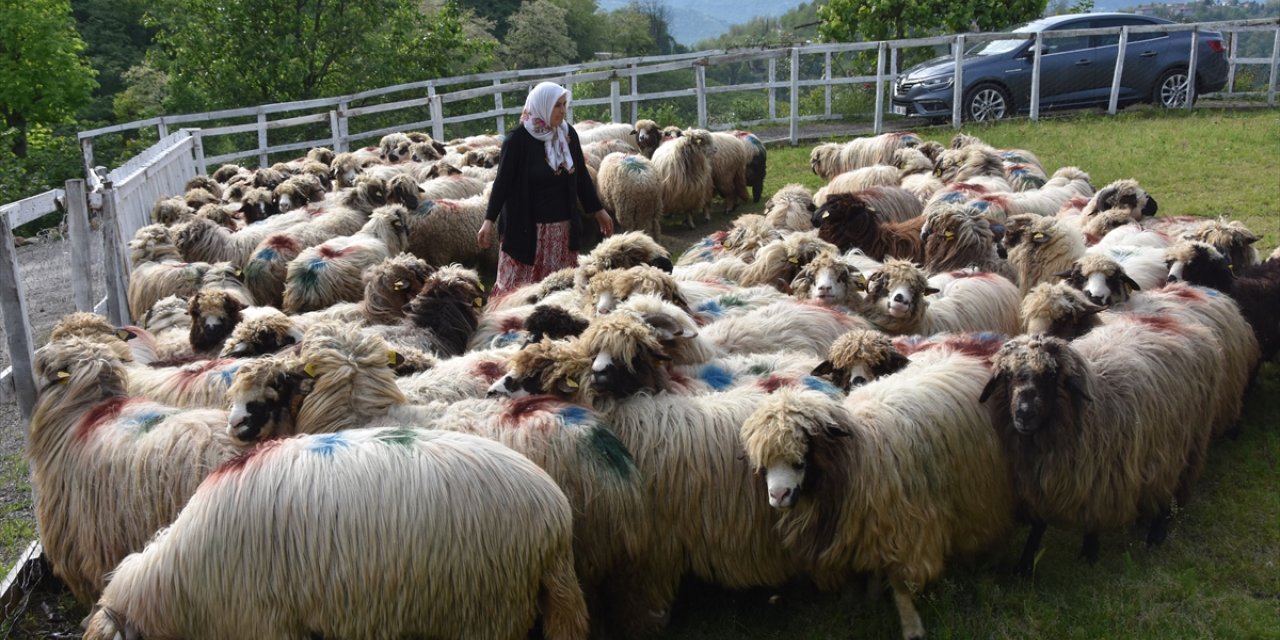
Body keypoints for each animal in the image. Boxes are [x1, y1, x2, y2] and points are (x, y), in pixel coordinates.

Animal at [742, 366, 1008, 640]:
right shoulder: (861, 525)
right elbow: (860, 570)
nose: (778, 495)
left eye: (804, 447)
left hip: (982, 489)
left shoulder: (904, 527)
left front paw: (912, 628)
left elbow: (900, 584)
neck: (860, 455)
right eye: (763, 462)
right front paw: (861, 602)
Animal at [977, 325, 1218, 570]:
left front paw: (1089, 554)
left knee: (1172, 488)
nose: (1024, 414)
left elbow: (1093, 519)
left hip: (1185, 444)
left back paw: (1157, 533)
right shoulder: (1039, 480)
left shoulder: (1101, 477)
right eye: (1008, 375)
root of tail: (1195, 330)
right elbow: (1038, 524)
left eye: (1051, 375)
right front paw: (1025, 564)